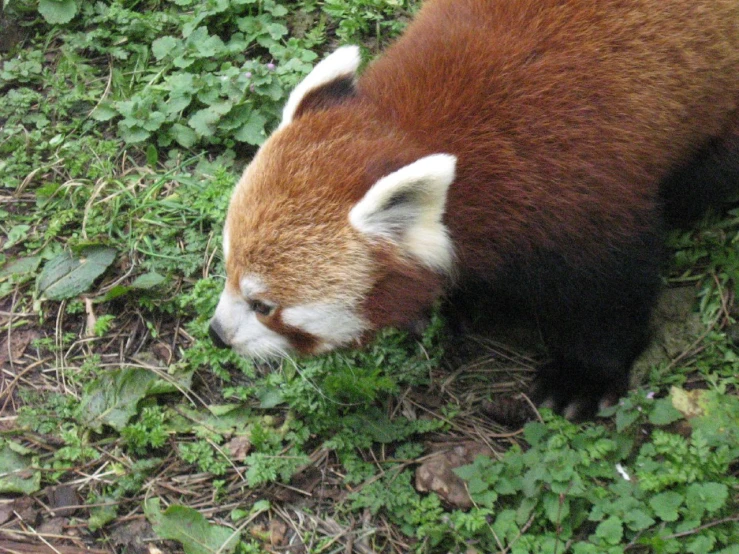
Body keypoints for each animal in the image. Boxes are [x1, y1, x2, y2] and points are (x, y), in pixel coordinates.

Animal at [210, 0, 739, 416]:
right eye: (227, 268)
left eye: (264, 306)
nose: (217, 334)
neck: (412, 129)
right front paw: (452, 304)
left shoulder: (585, 190)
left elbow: (609, 293)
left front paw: (581, 378)